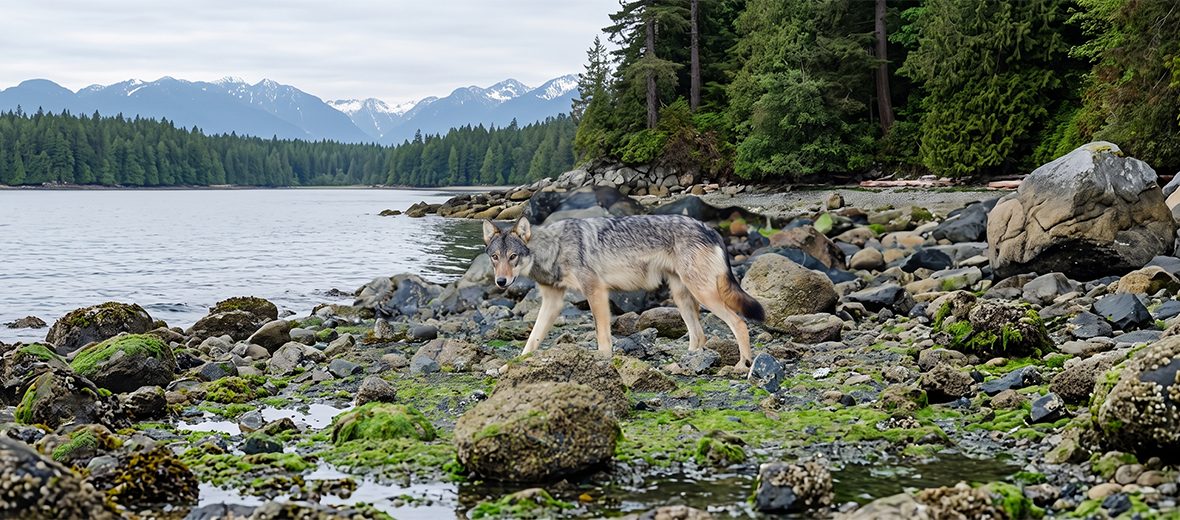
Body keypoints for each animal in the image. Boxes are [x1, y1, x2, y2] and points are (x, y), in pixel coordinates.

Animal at [482, 215, 765, 368]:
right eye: (495, 257)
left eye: (513, 256)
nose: (501, 282)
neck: (555, 247)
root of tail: (711, 229)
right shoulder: (552, 302)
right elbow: (532, 340)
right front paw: (510, 366)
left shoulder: (596, 291)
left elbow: (603, 335)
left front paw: (603, 359)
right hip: (682, 297)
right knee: (699, 335)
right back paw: (686, 362)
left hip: (704, 294)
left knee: (739, 323)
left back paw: (742, 366)